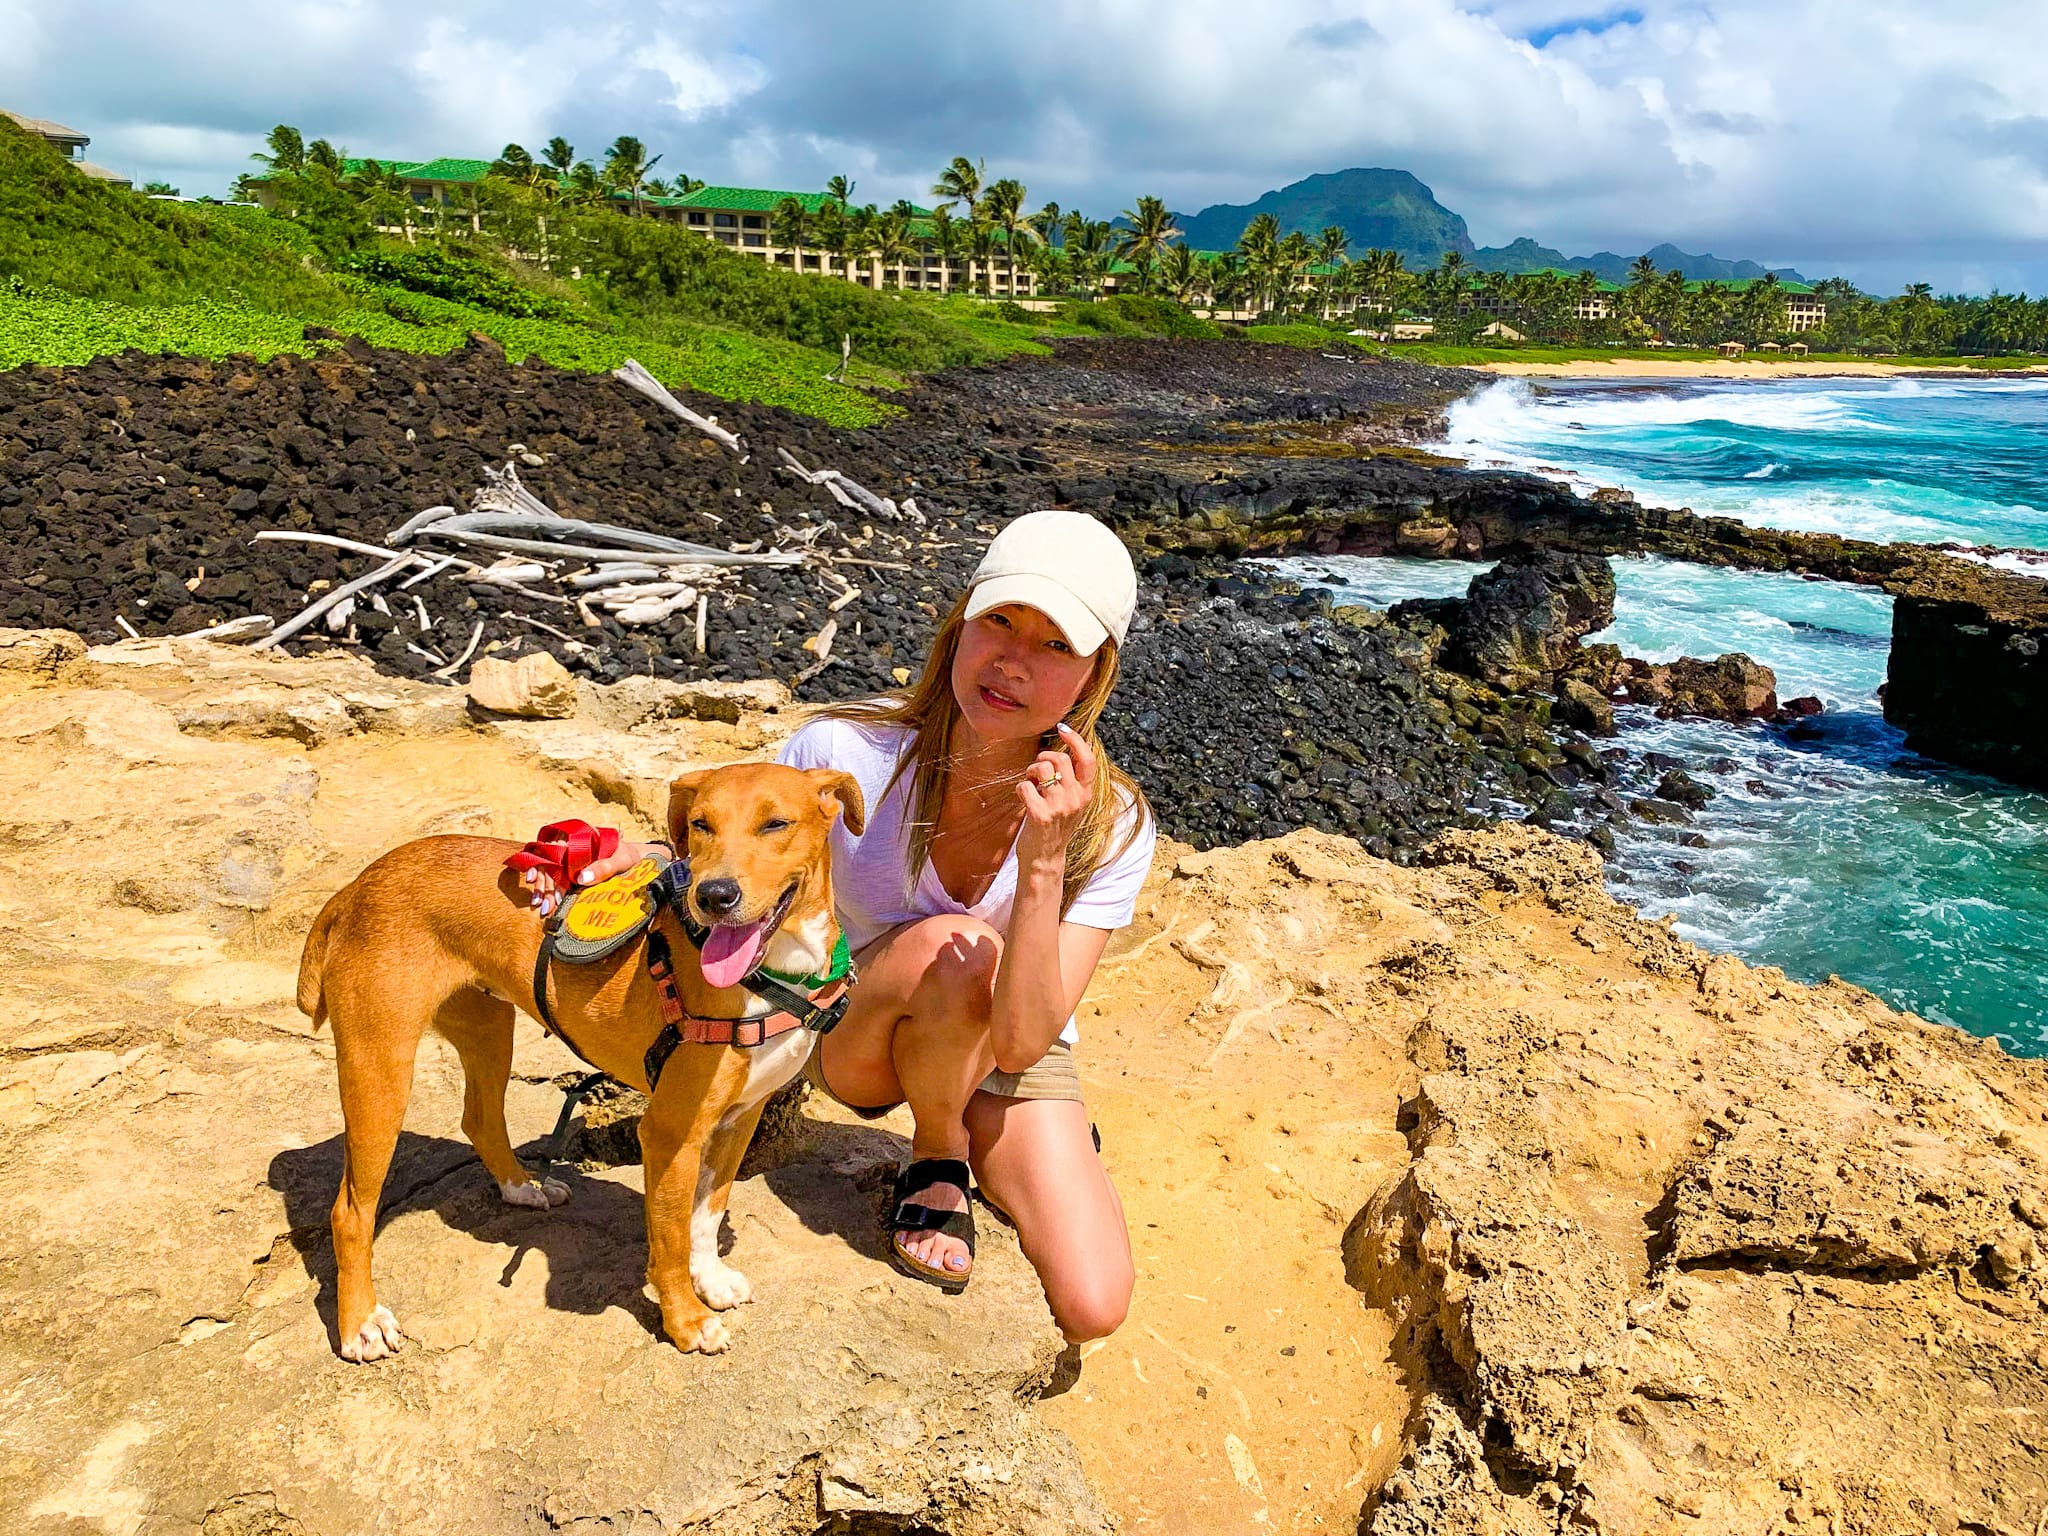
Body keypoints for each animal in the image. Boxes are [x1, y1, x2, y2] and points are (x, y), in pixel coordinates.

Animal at [294, 765, 856, 1359]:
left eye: (776, 824)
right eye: (700, 825)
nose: (715, 895)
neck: (774, 974)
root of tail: (356, 885)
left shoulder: (738, 1119)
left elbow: (708, 1211)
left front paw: (710, 1279)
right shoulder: (669, 1134)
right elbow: (670, 1237)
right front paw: (685, 1320)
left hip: (488, 1030)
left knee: (480, 1119)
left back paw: (523, 1187)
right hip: (380, 1068)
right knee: (350, 1210)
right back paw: (359, 1323)